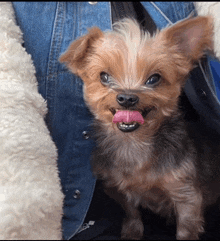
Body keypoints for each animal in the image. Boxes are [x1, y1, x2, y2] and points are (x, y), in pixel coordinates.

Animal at [59, 16, 220, 240]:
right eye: (104, 76)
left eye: (154, 78)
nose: (127, 98)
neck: (134, 143)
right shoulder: (115, 186)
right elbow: (131, 210)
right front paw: (132, 231)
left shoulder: (186, 195)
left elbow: (185, 230)